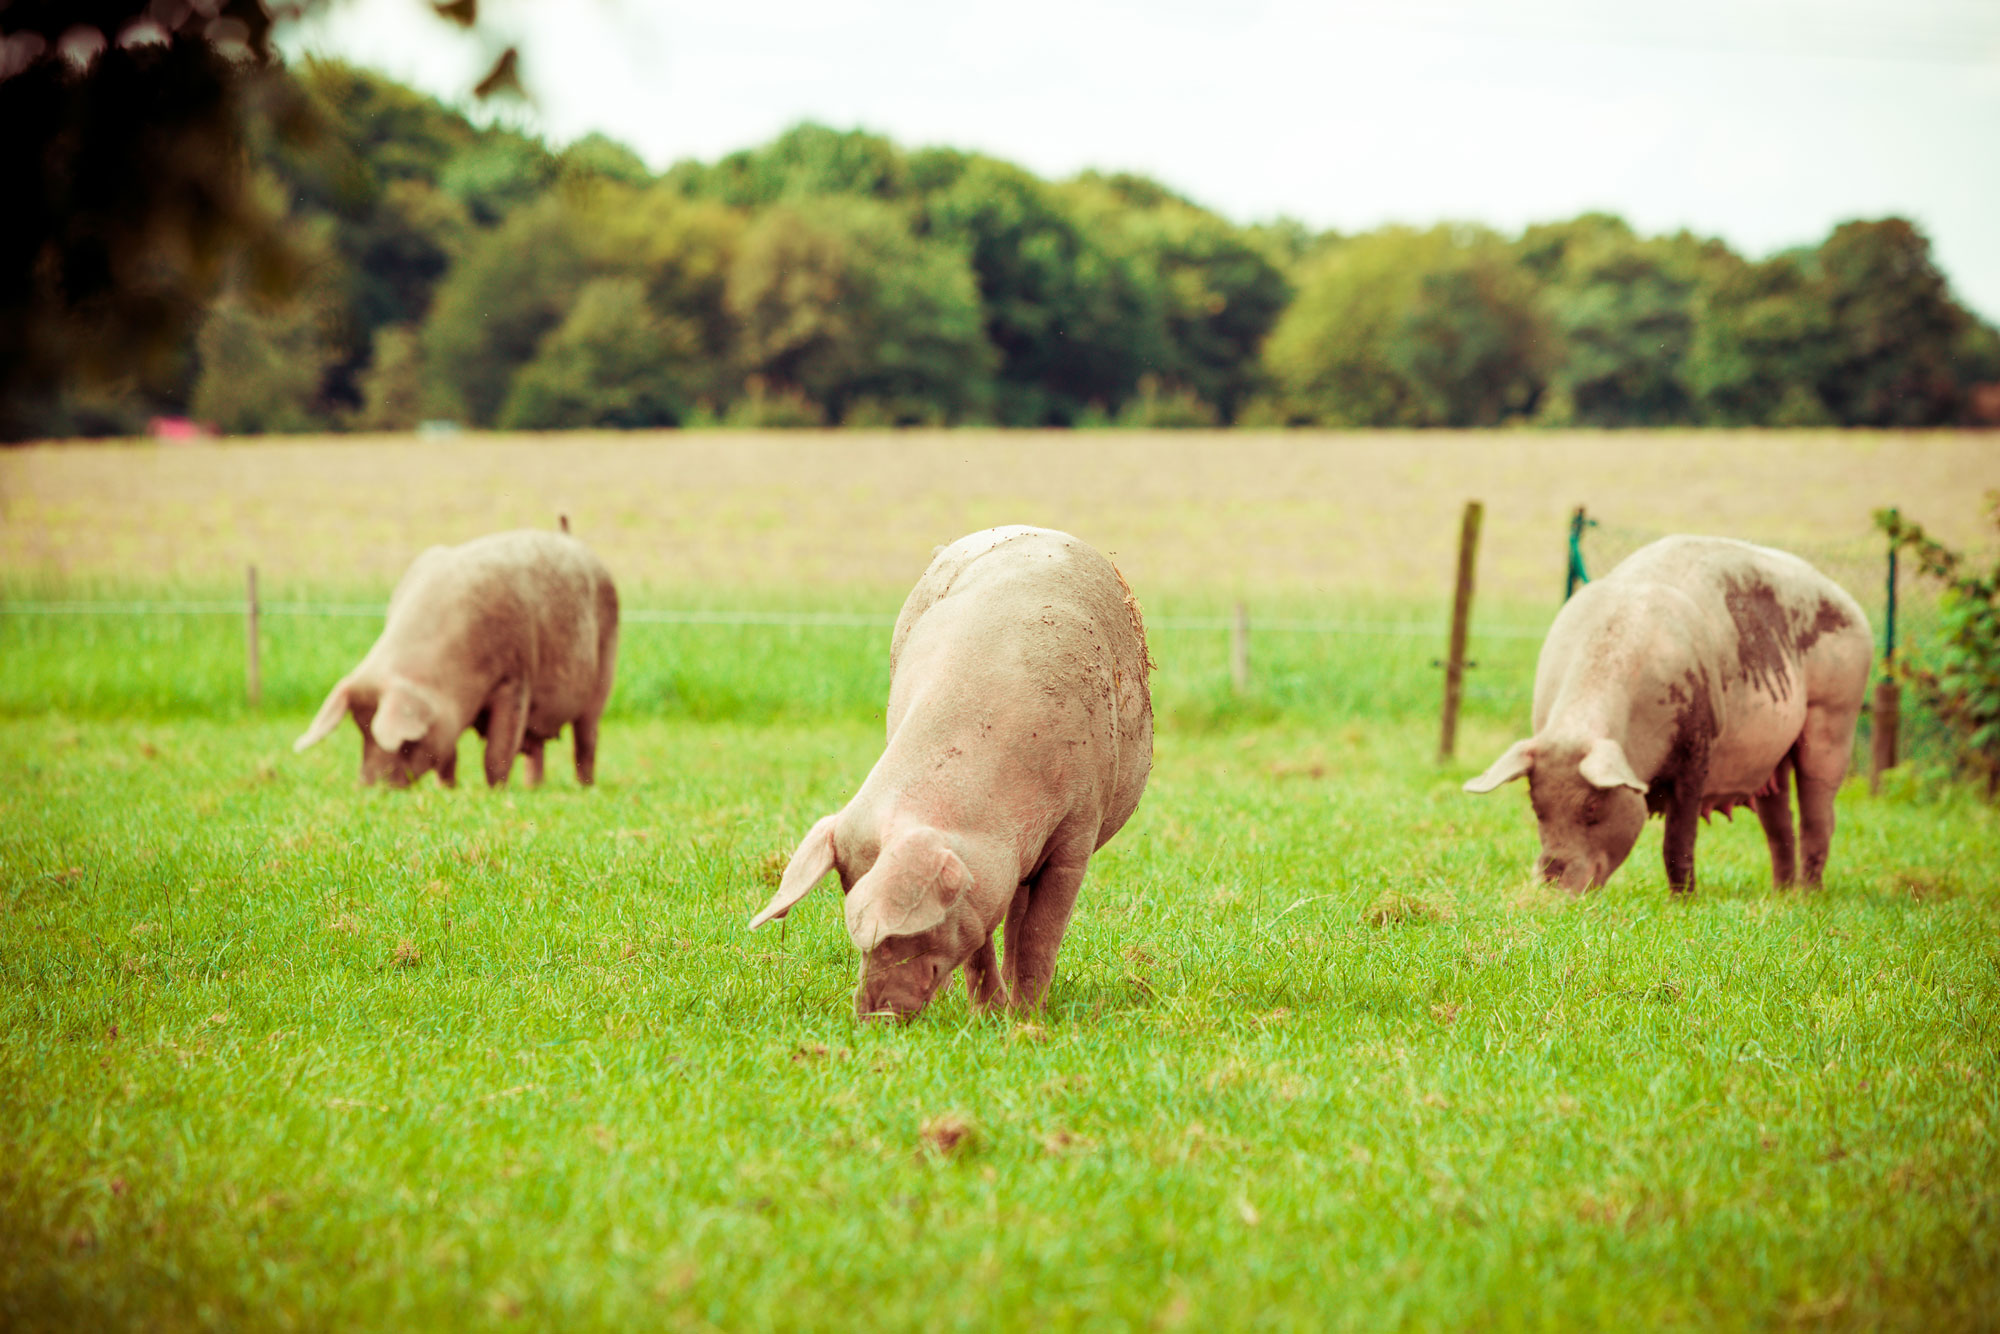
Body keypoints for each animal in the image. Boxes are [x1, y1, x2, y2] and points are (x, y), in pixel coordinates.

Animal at [292, 528, 612, 788]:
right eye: (361, 731)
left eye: (406, 744)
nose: (367, 787)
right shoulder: (447, 714)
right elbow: (449, 754)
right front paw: (447, 789)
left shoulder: (515, 679)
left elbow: (497, 751)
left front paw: (496, 791)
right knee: (537, 748)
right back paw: (534, 787)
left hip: (605, 664)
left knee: (586, 740)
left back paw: (584, 786)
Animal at [748, 524, 1160, 1024]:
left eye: (908, 926)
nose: (873, 1017)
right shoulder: (979, 874)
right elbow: (980, 940)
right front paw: (989, 1016)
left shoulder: (1077, 827)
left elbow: (1041, 933)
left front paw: (1026, 1020)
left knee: (1022, 921)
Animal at [1464, 536, 1864, 896]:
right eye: (1536, 806)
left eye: (1592, 806)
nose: (1550, 884)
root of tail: (1854, 606)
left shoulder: (1698, 744)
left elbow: (1678, 837)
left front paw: (1683, 901)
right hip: (1772, 758)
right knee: (1779, 823)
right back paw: (1781, 894)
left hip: (1837, 715)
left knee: (1818, 816)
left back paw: (1808, 896)